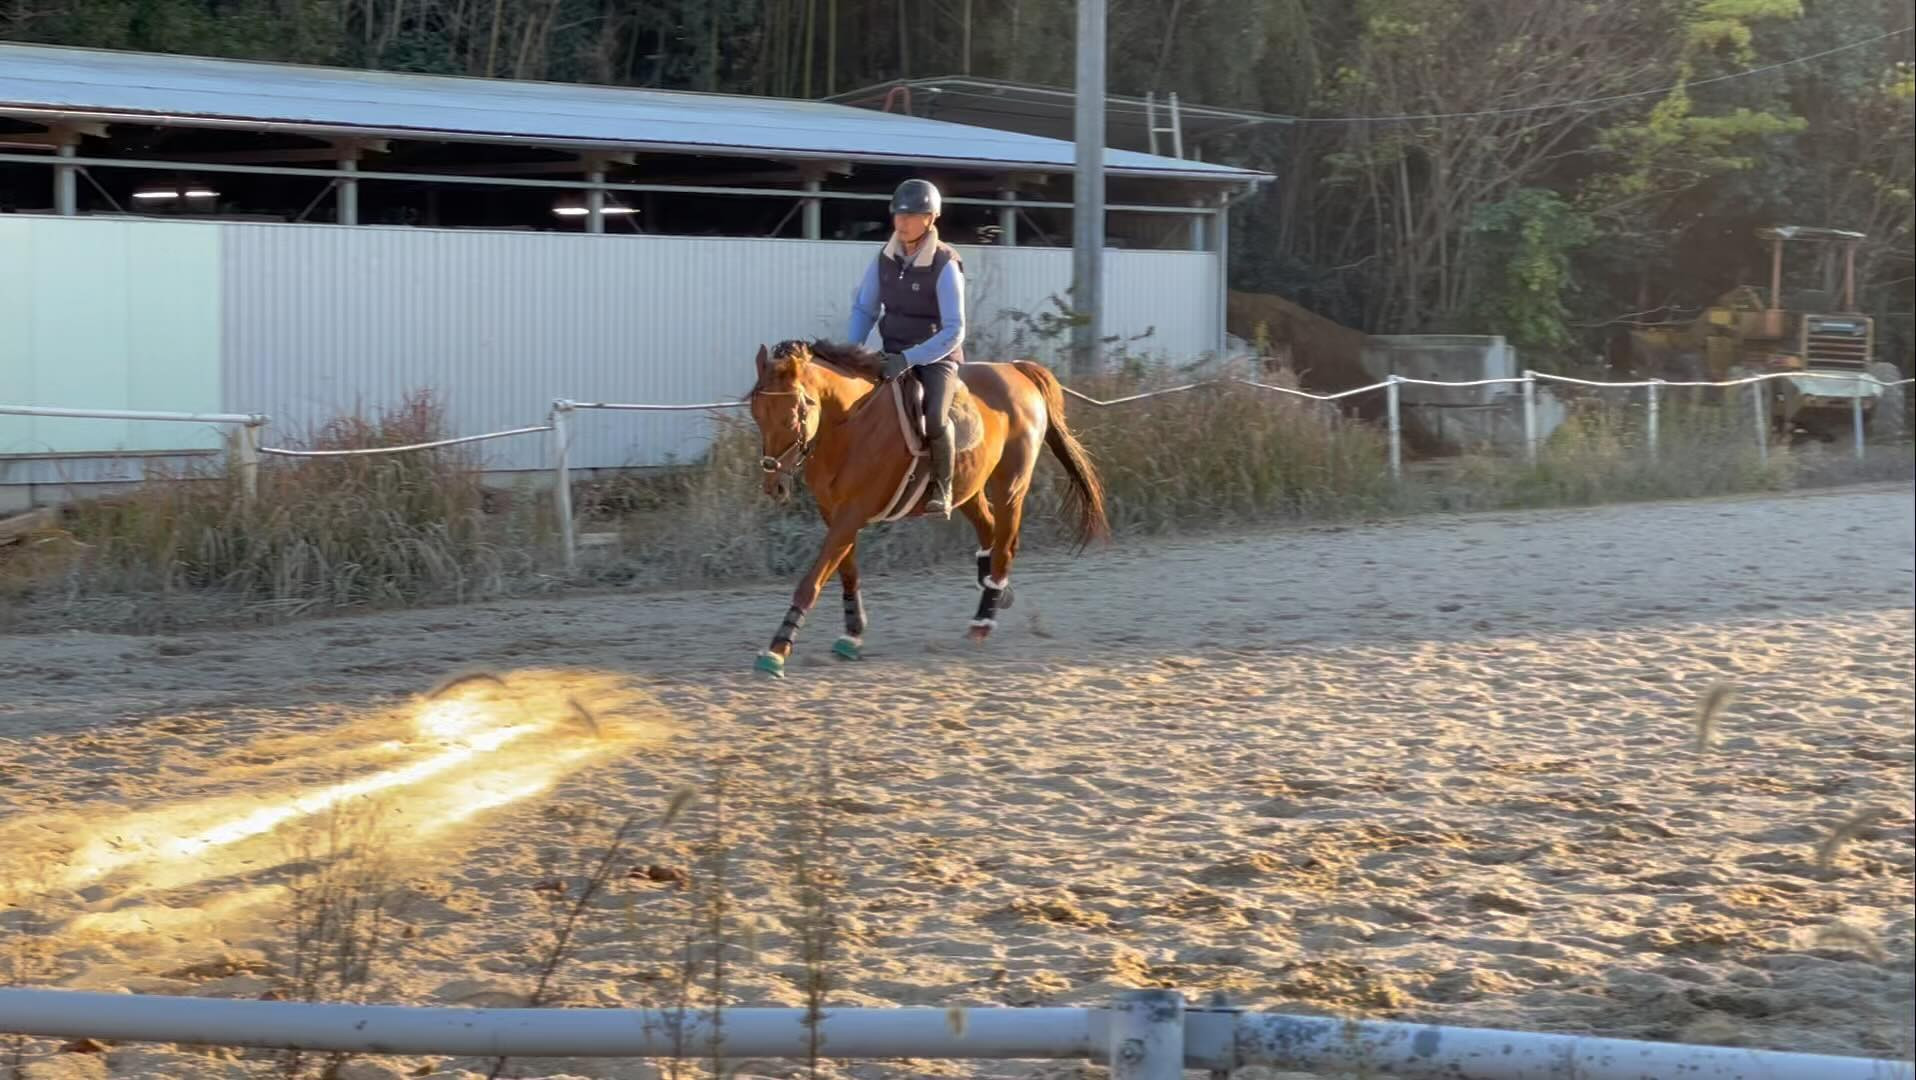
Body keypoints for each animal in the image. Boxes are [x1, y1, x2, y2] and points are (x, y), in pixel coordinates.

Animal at [747, 338, 1111, 674]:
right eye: (756, 414)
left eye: (793, 416)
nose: (773, 485)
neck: (851, 423)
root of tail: (1015, 369)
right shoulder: (833, 512)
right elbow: (847, 572)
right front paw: (852, 635)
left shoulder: (852, 514)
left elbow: (812, 581)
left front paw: (777, 649)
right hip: (968, 488)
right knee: (990, 532)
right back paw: (998, 591)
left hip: (1010, 486)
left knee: (1005, 545)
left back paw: (982, 622)